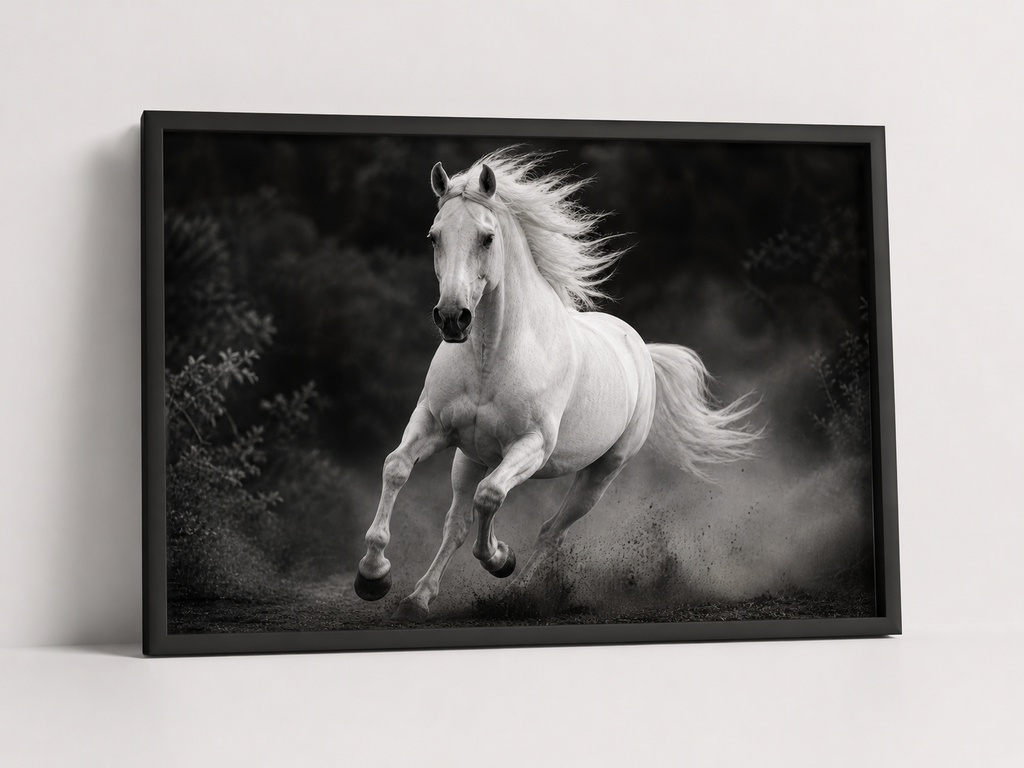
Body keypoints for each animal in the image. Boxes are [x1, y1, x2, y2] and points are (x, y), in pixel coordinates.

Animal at [353, 148, 759, 623]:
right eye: (433, 237)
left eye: (487, 238)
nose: (452, 318)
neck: (492, 354)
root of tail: (639, 347)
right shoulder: (434, 425)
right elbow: (396, 467)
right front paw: (373, 576)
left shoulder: (532, 446)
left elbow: (490, 497)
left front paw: (500, 559)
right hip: (469, 456)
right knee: (456, 523)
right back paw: (418, 598)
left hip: (601, 473)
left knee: (550, 531)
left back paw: (515, 596)